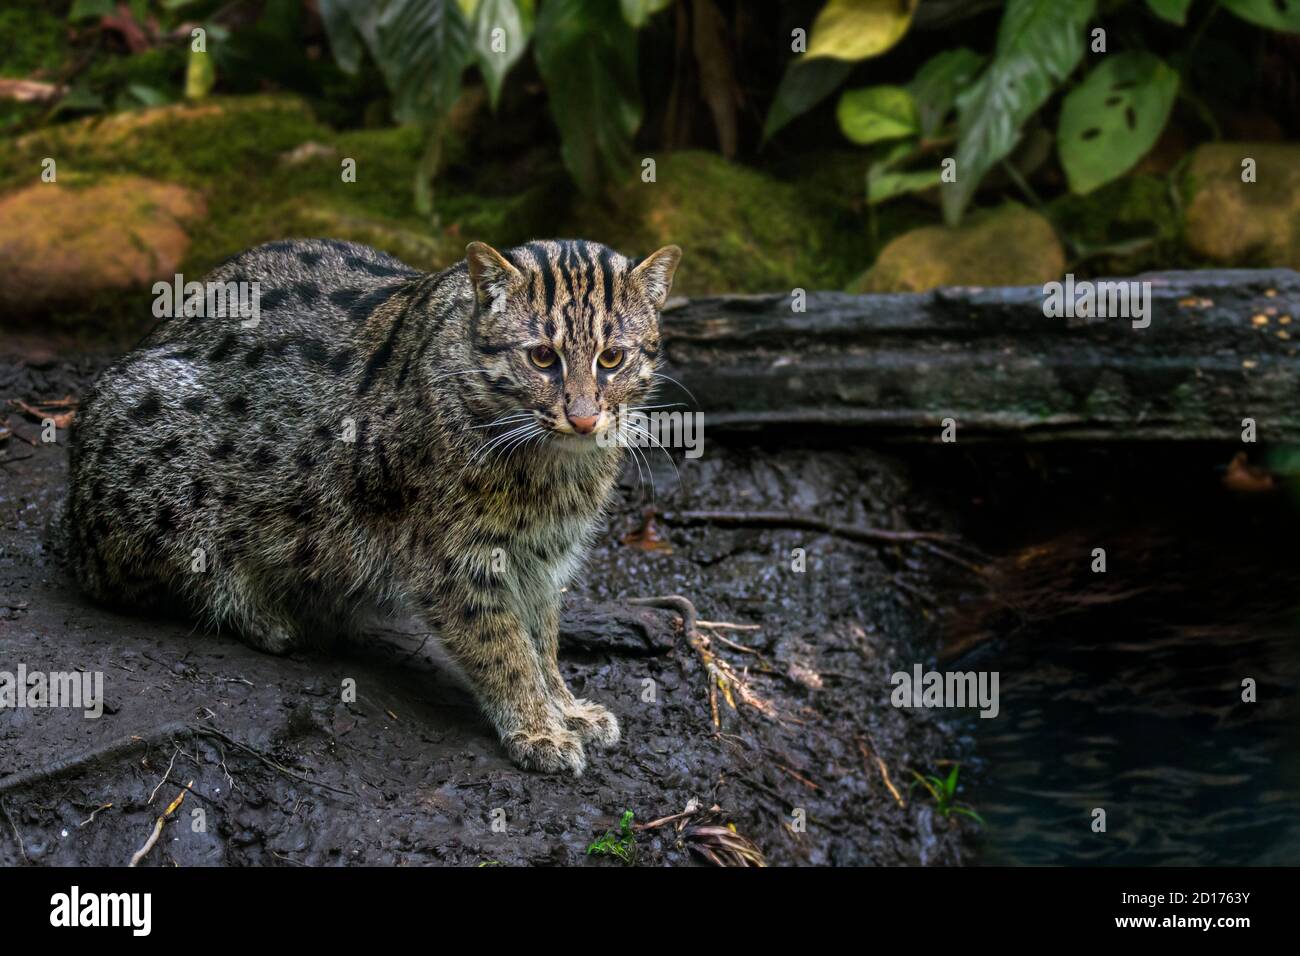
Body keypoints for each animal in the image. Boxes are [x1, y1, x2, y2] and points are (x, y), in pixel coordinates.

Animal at [63, 239, 681, 780]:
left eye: (612, 358)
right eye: (542, 357)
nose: (584, 418)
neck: (554, 470)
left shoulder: (543, 559)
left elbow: (543, 640)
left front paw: (565, 706)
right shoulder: (451, 561)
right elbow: (503, 646)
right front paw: (538, 728)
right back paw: (265, 615)